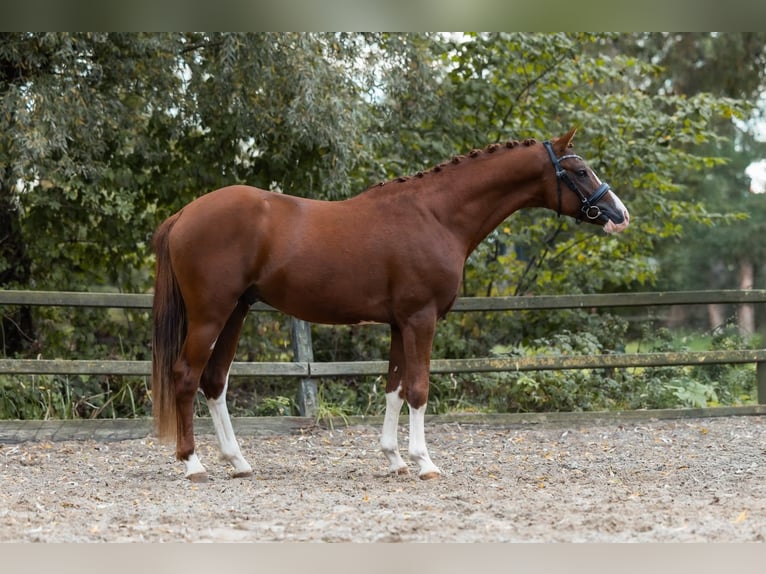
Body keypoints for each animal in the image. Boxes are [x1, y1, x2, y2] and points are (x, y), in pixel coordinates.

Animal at [151, 128, 629, 482]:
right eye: (581, 171)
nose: (620, 215)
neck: (436, 215)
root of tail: (185, 214)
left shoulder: (401, 323)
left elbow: (395, 389)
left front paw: (395, 459)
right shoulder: (421, 320)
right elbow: (419, 389)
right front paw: (425, 462)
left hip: (236, 311)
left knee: (215, 381)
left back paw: (238, 462)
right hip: (210, 315)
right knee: (186, 376)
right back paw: (193, 464)